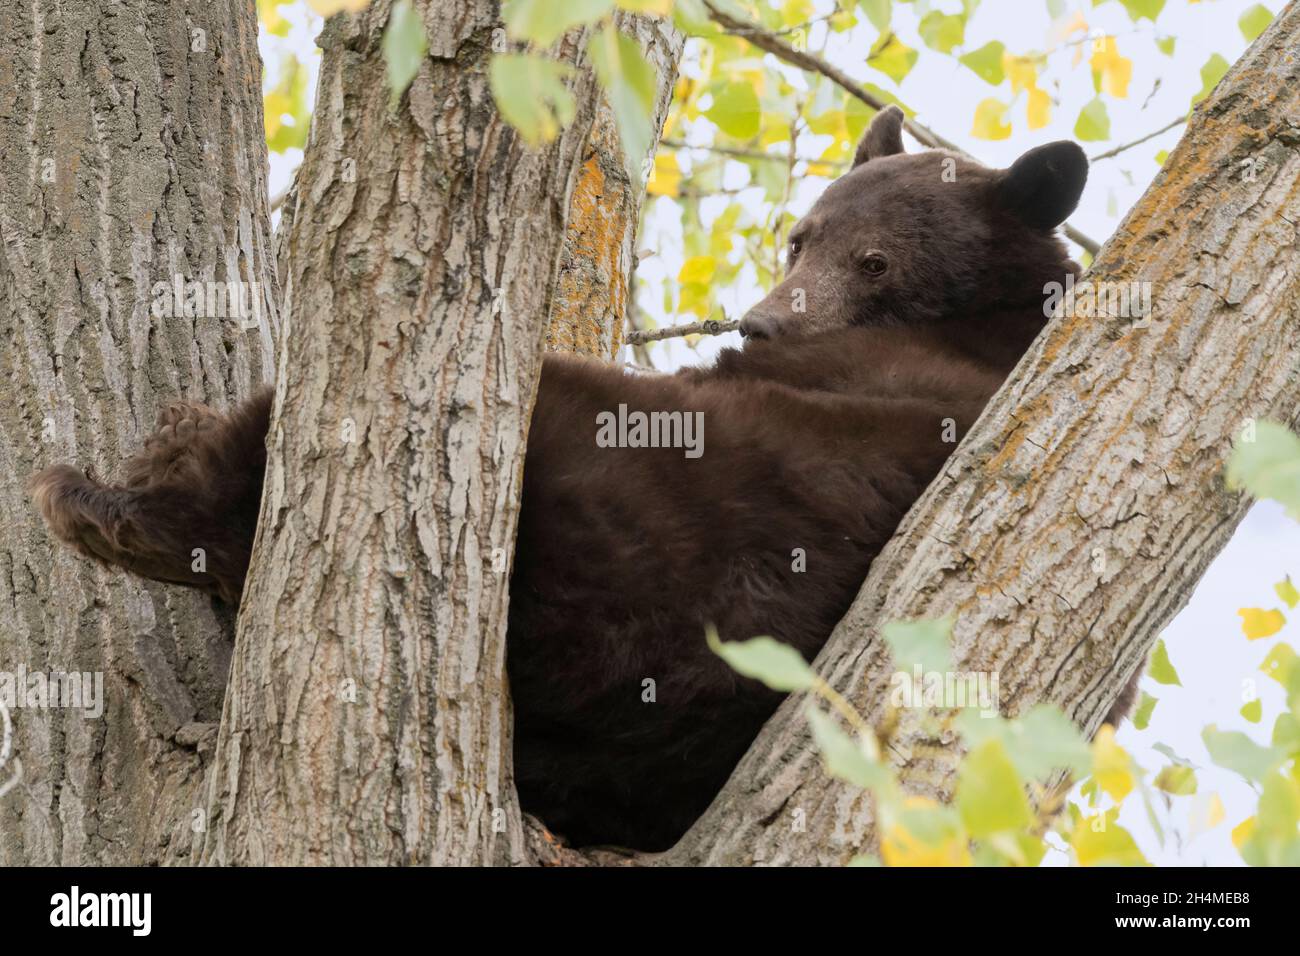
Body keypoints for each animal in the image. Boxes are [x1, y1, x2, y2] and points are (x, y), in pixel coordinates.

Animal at [30, 106, 1095, 851]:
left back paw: (119, 501)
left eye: (873, 260)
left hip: (633, 516)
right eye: (801, 235)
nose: (762, 323)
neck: (989, 312)